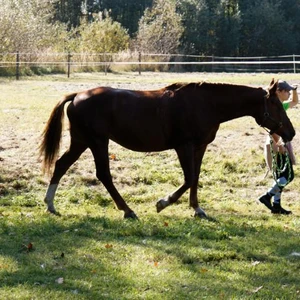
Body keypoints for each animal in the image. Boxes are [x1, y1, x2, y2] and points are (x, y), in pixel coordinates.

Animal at [39, 78, 296, 219]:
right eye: (275, 104)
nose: (291, 133)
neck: (206, 103)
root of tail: (77, 96)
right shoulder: (183, 146)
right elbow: (188, 178)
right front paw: (163, 203)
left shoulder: (199, 147)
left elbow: (195, 178)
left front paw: (196, 208)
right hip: (97, 142)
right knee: (103, 174)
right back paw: (127, 210)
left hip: (82, 142)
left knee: (61, 165)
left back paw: (50, 204)